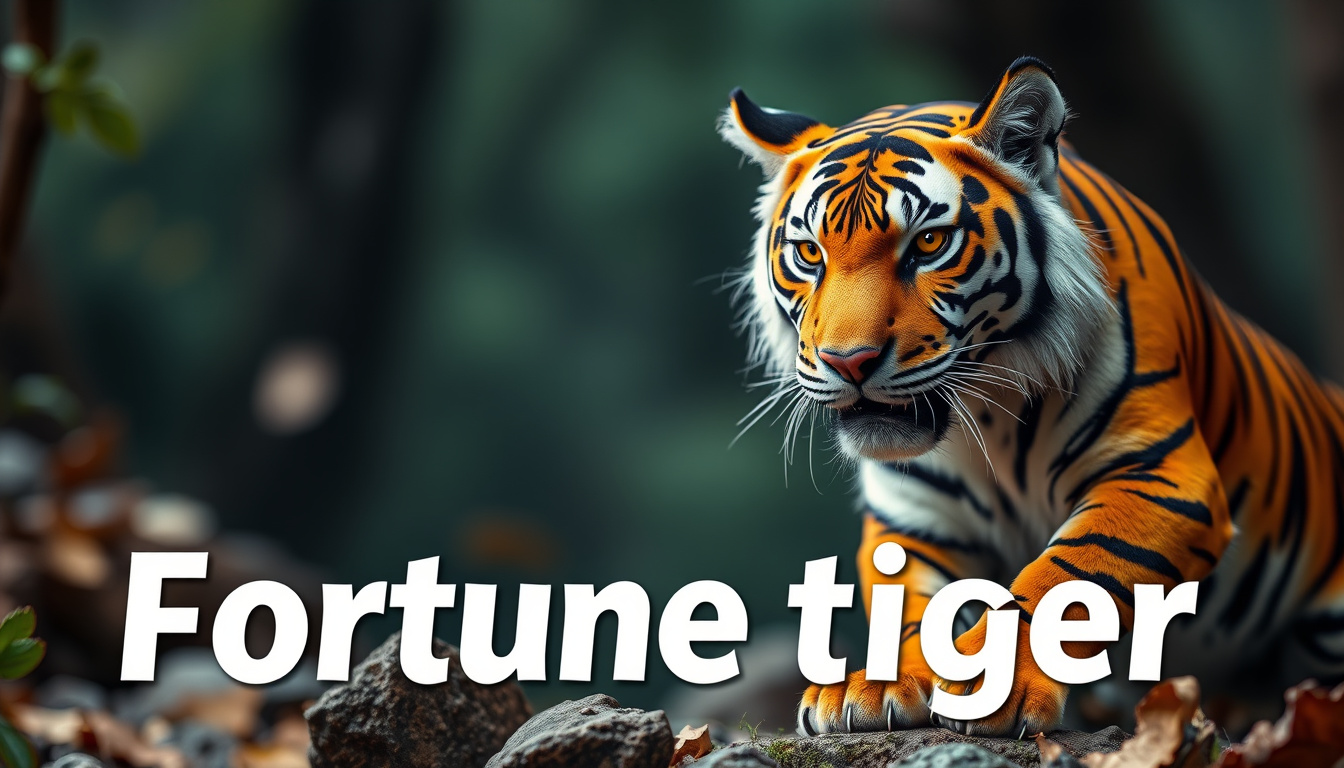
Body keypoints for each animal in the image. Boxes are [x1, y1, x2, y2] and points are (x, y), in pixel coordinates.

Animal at [718, 56, 1344, 737]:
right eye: (810, 253)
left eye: (929, 244)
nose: (847, 361)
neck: (987, 419)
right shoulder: (914, 513)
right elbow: (910, 605)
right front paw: (872, 687)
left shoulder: (1163, 476)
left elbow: (1065, 576)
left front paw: (990, 686)